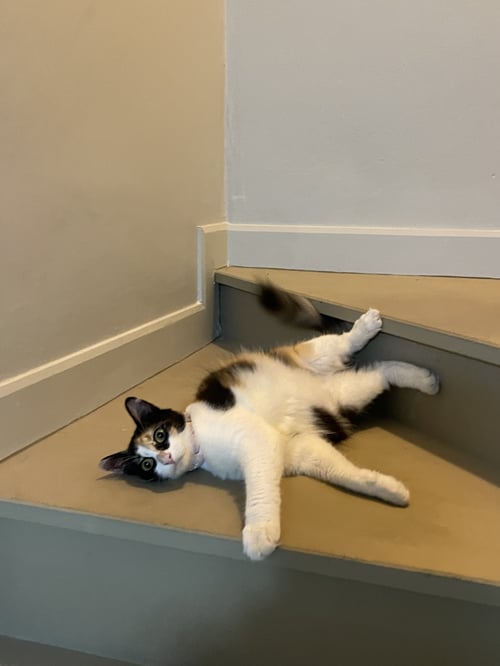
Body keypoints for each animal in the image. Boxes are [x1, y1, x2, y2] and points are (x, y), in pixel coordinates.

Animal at [99, 284, 439, 561]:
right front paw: (390, 490)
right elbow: (347, 474)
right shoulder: (302, 450)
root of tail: (320, 385)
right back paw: (425, 379)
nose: (166, 457)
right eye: (146, 465)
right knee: (381, 371)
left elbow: (259, 489)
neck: (201, 445)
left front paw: (258, 534)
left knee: (343, 342)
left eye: (159, 436)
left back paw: (367, 327)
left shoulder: (255, 440)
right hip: (346, 396)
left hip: (315, 356)